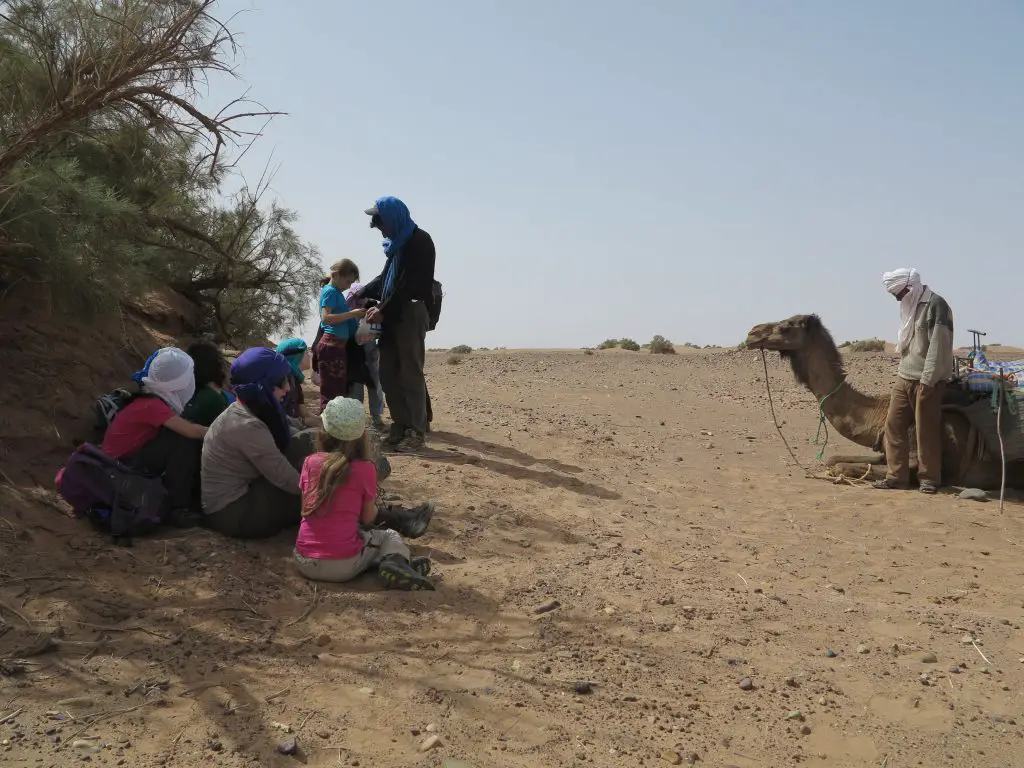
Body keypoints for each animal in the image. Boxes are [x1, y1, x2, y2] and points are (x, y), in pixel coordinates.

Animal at [745, 313, 1024, 489]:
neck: (881, 412)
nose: (751, 333)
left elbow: (841, 467)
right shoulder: (886, 450)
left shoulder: (914, 458)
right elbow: (833, 459)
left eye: (785, 326)